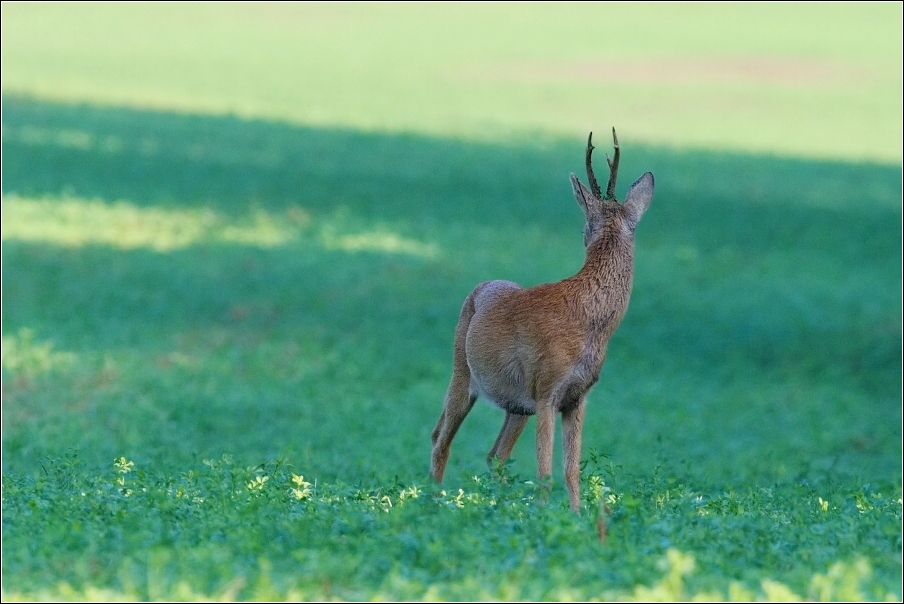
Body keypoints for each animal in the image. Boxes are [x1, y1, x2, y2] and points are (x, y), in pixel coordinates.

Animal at [428, 126, 652, 510]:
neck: (590, 323)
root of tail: (481, 286)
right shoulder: (546, 389)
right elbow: (545, 473)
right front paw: (546, 515)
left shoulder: (577, 396)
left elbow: (571, 472)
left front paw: (575, 516)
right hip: (462, 374)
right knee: (441, 441)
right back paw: (435, 503)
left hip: (517, 405)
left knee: (494, 455)